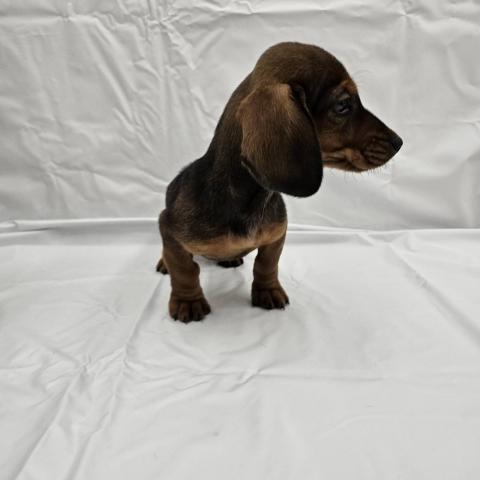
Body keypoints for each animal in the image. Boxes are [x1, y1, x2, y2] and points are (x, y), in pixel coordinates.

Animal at [156, 42, 403, 322]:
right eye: (343, 105)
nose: (399, 142)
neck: (252, 199)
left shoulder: (277, 234)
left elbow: (266, 264)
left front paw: (268, 290)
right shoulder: (169, 229)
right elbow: (184, 269)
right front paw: (188, 301)